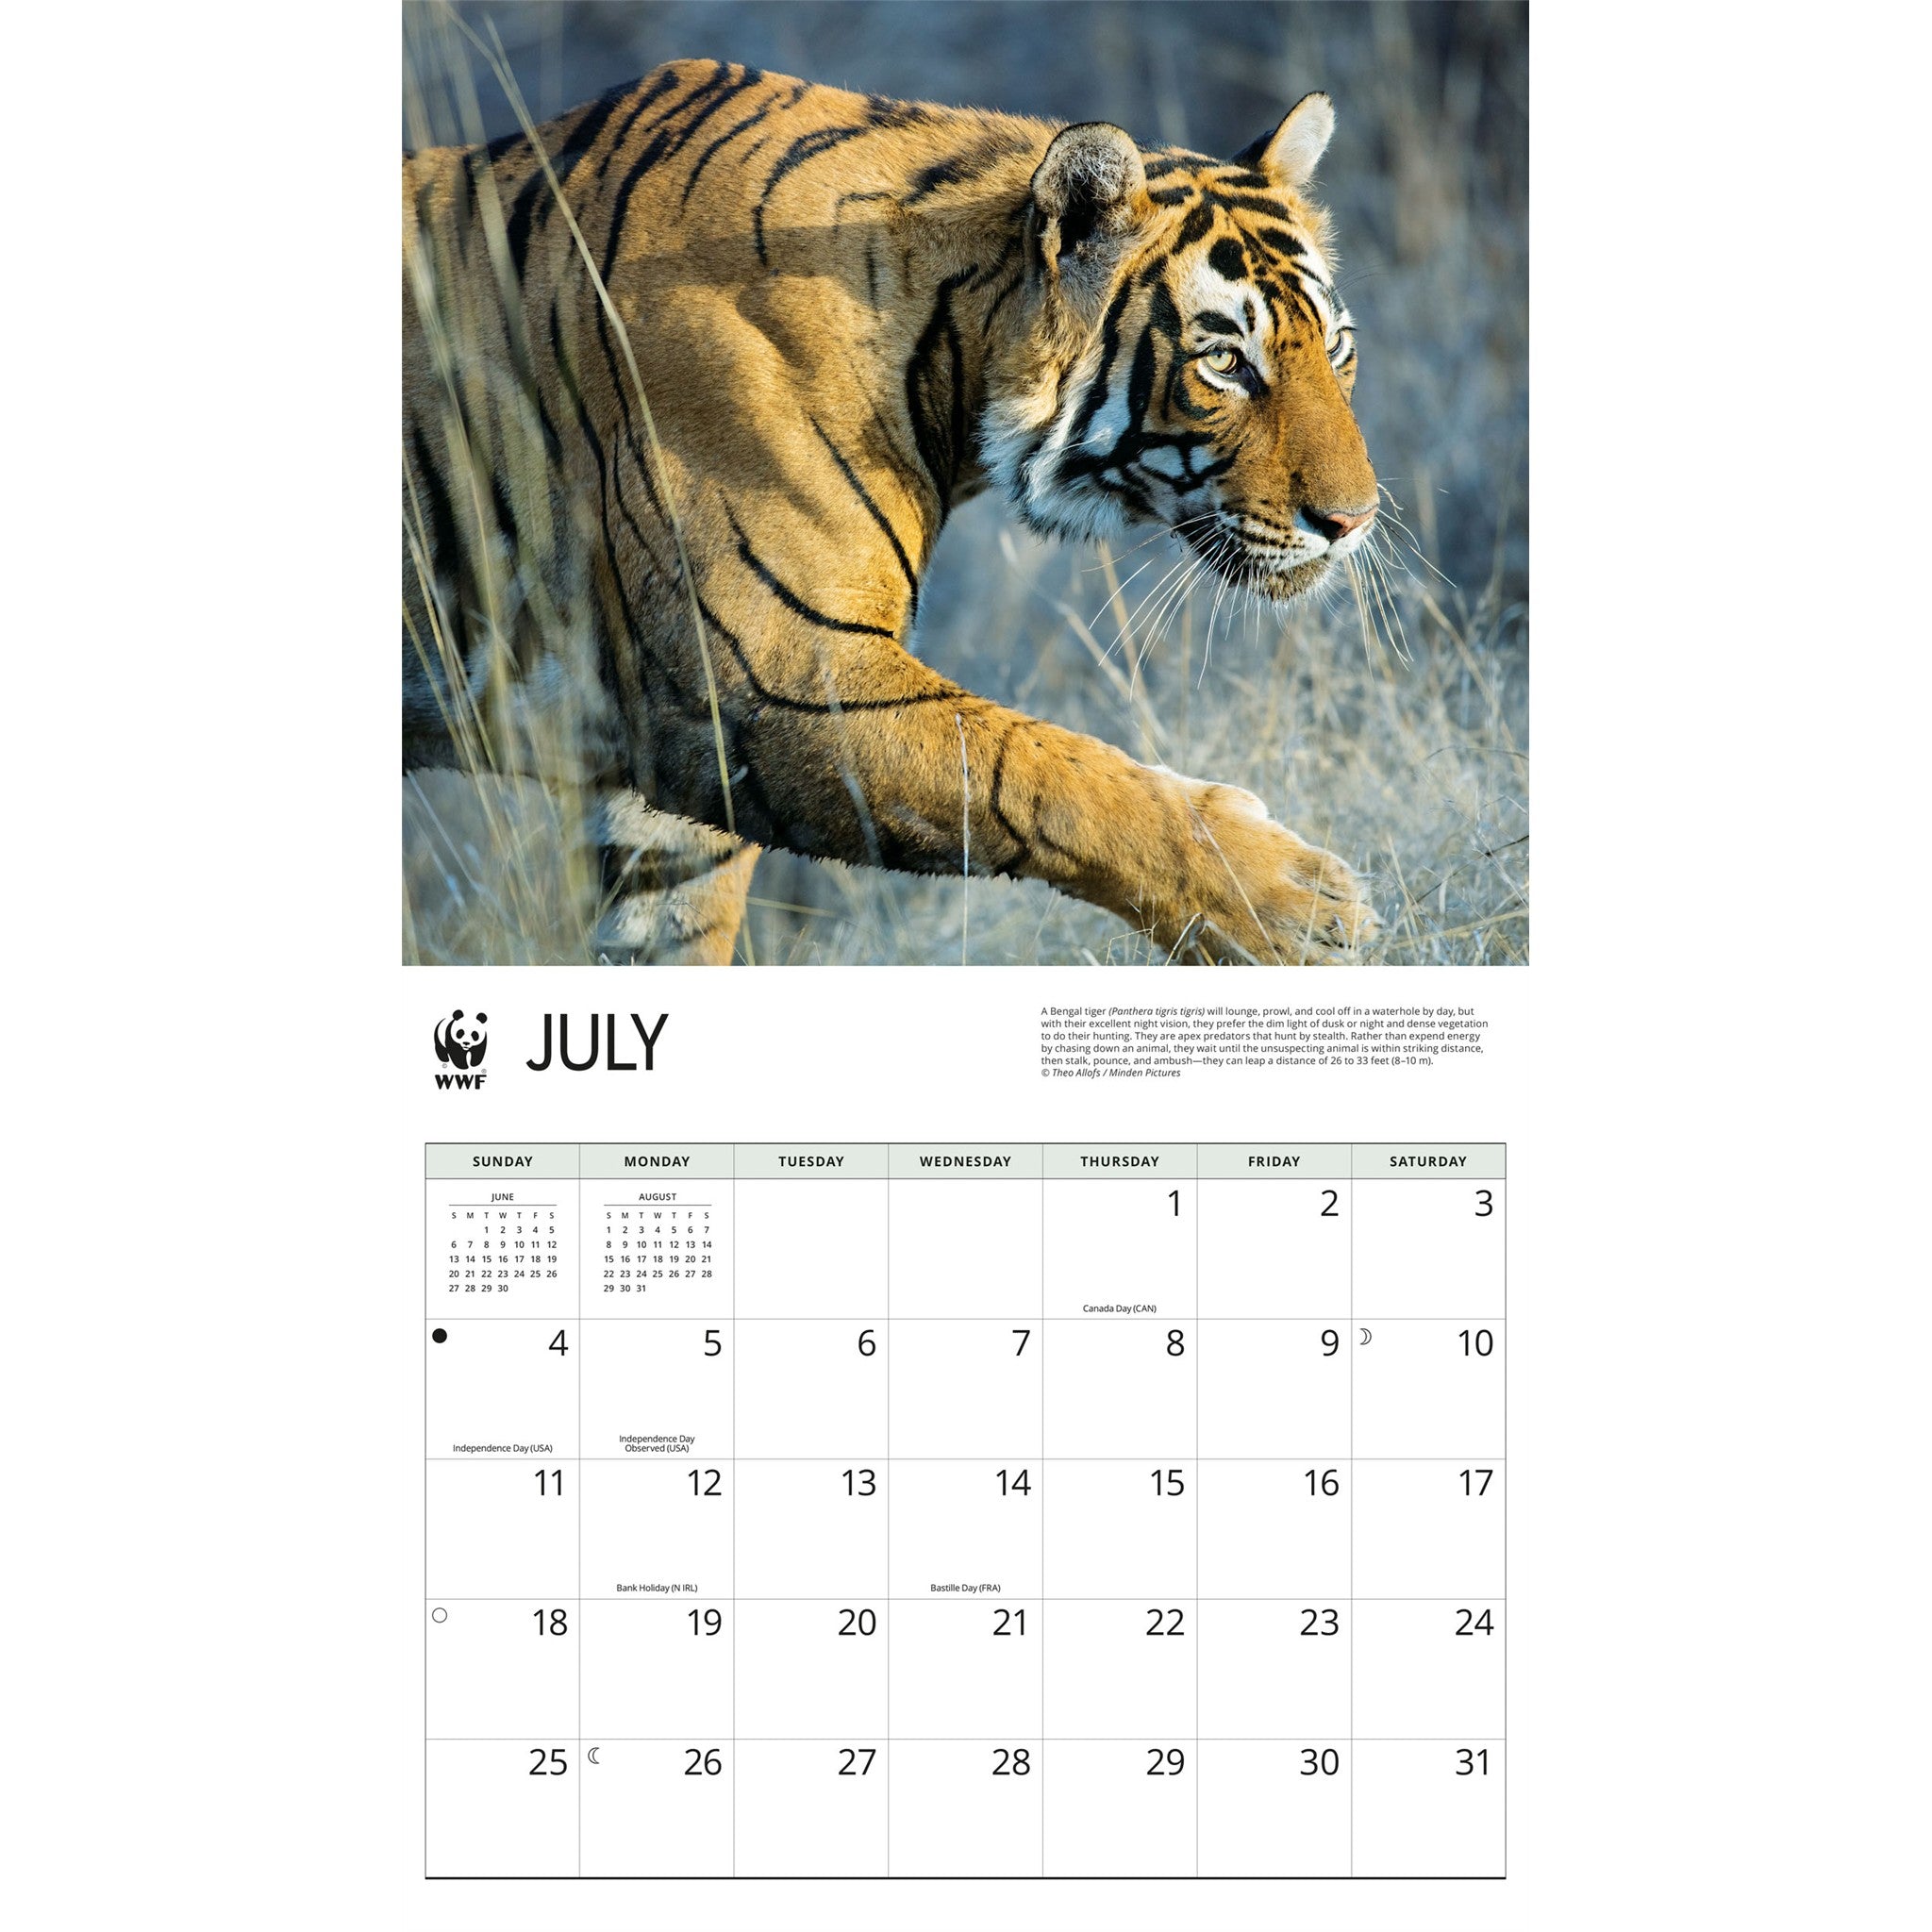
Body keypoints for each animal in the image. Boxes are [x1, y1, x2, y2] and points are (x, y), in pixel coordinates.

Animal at [403, 58, 1382, 964]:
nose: (1354, 521)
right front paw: (1294, 903)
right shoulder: (767, 680)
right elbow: (1033, 768)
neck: (943, 342)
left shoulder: (673, 795)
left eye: (1337, 347)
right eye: (1225, 363)